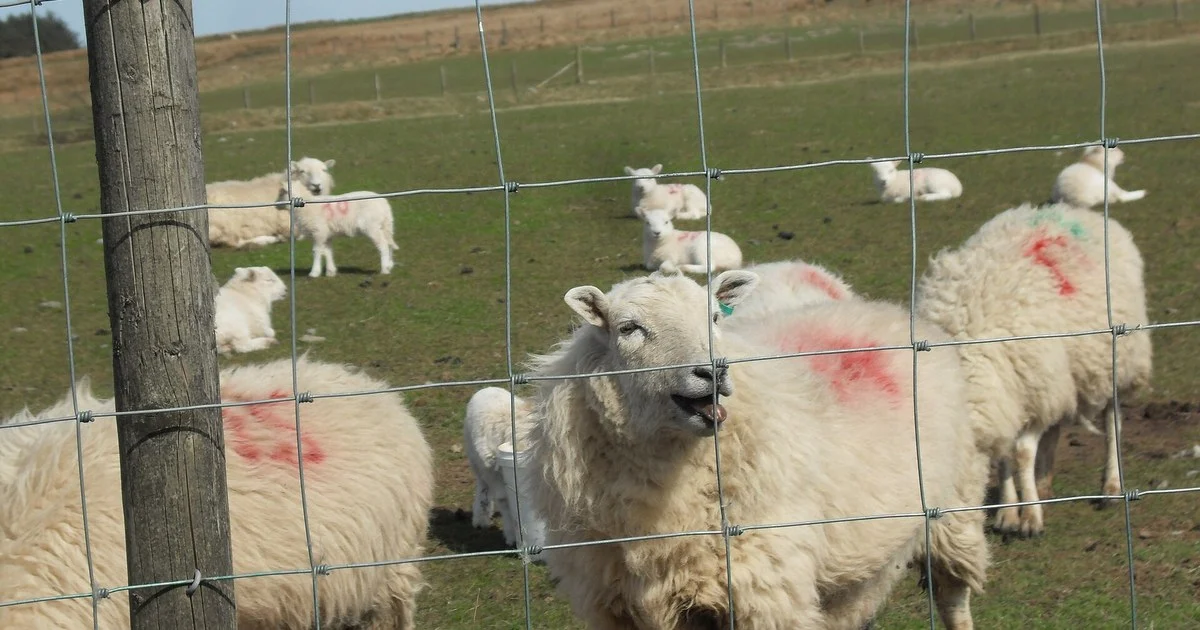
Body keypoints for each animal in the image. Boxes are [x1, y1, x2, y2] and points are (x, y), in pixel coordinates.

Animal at [207, 157, 336, 249]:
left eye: (324, 170)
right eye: (302, 171)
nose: (317, 185)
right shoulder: (288, 224)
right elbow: (299, 234)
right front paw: (284, 237)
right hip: (226, 224)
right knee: (234, 242)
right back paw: (269, 239)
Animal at [463, 386, 542, 547]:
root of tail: (486, 388)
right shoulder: (491, 472)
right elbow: (504, 501)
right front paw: (512, 536)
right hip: (476, 462)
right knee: (483, 487)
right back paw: (480, 519)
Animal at [526, 270, 989, 630]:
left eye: (715, 316)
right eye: (628, 328)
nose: (712, 372)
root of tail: (888, 312)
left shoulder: (765, 592)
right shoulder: (620, 603)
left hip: (953, 508)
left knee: (953, 596)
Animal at [915, 202, 1152, 538]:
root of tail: (1074, 211)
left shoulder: (1032, 387)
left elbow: (1022, 452)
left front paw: (1029, 518)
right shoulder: (1010, 397)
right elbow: (1005, 455)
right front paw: (1008, 512)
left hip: (1114, 359)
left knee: (1112, 422)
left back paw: (1111, 486)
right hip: (1063, 372)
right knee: (1056, 427)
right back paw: (1044, 484)